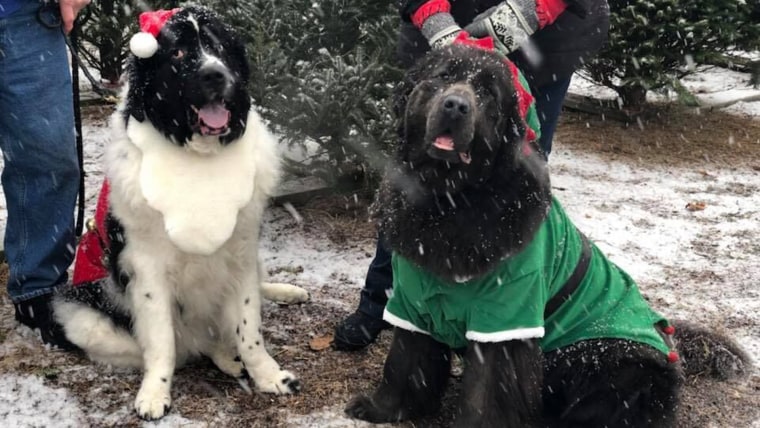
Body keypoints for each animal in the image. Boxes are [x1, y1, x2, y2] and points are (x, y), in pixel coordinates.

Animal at [52, 6, 308, 420]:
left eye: (219, 48)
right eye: (177, 54)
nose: (215, 74)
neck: (198, 156)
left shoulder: (241, 252)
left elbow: (249, 327)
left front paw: (269, 375)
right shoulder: (147, 268)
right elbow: (162, 342)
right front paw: (155, 393)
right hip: (83, 318)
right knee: (186, 343)